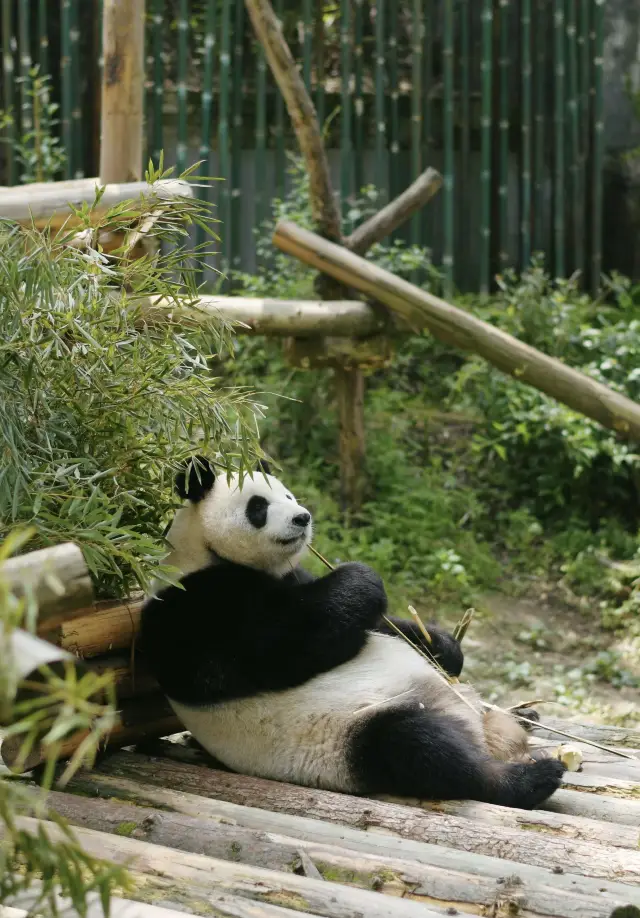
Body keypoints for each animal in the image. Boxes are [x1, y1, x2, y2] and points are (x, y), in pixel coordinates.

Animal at [141, 456, 564, 808]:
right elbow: (276, 646)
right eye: (258, 506)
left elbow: (377, 625)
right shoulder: (195, 607)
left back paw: (526, 718)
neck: (206, 551)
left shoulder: (292, 576)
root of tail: (482, 735)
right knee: (420, 747)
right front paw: (363, 577)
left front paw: (445, 648)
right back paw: (532, 778)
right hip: (354, 736)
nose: (302, 517)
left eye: (288, 494)